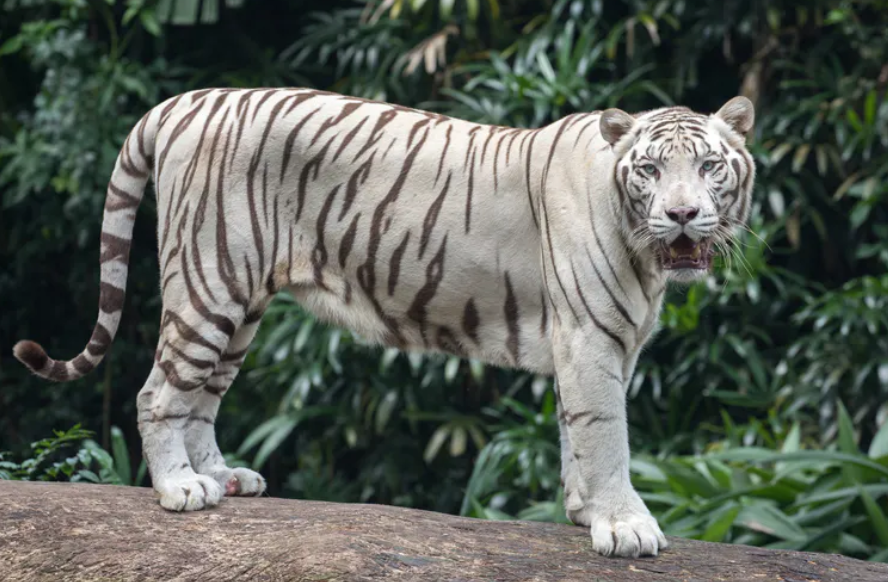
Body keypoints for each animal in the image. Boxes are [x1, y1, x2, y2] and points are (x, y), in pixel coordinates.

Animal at [13, 88, 752, 560]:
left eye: (709, 166)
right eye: (650, 169)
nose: (683, 215)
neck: (647, 258)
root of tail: (181, 102)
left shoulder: (597, 345)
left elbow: (577, 433)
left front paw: (583, 511)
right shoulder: (592, 338)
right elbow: (606, 435)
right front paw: (625, 527)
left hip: (240, 304)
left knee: (201, 398)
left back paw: (224, 478)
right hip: (208, 283)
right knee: (159, 393)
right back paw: (181, 489)